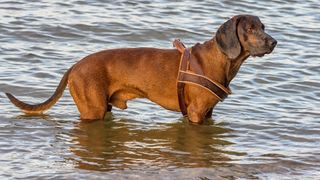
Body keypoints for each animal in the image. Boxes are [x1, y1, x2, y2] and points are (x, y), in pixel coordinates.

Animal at [5, 14, 276, 123]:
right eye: (250, 29)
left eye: (262, 26)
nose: (274, 42)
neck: (221, 59)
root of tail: (74, 66)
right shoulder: (197, 114)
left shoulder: (207, 113)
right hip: (93, 110)